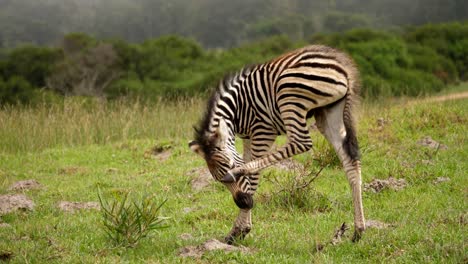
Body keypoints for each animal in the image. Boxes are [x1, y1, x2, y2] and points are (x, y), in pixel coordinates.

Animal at [189, 44, 366, 244]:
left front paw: (241, 228)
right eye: (216, 179)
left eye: (229, 165)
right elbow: (249, 171)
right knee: (350, 160)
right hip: (329, 111)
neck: (237, 109)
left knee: (301, 142)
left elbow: (253, 176)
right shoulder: (247, 137)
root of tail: (343, 65)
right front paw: (238, 230)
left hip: (289, 94)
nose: (244, 203)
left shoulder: (262, 130)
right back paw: (358, 231)